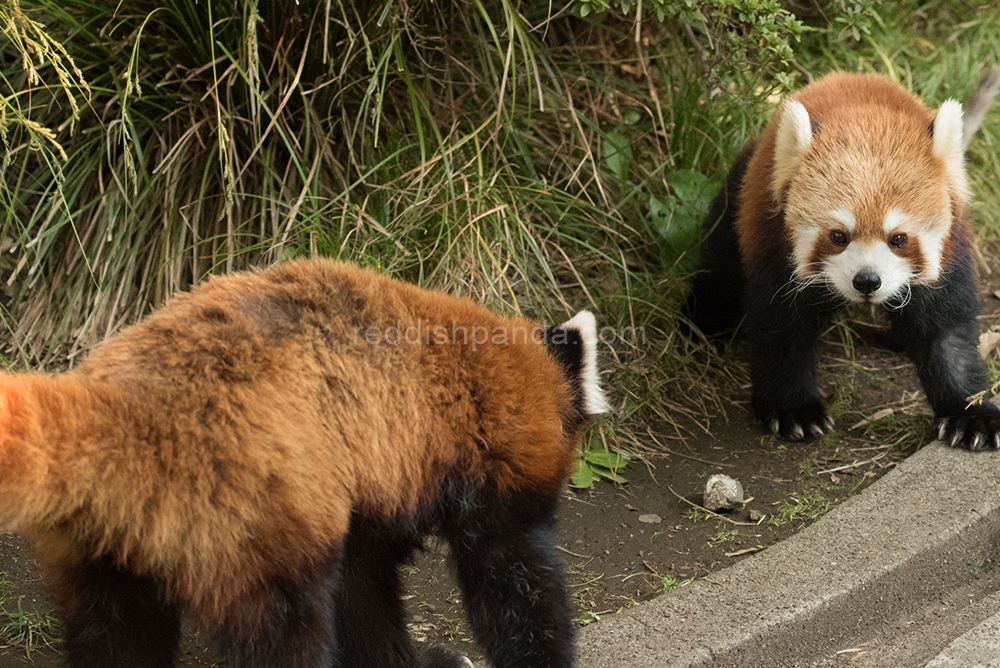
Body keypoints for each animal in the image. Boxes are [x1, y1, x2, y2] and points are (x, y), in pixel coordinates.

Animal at [0, 258, 608, 668]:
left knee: (117, 637)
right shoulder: (484, 470)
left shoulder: (360, 491)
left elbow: (362, 596)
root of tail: (139, 404)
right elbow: (513, 579)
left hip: (102, 547)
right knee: (287, 633)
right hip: (255, 516)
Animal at [684, 72, 1000, 448]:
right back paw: (702, 323)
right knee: (723, 267)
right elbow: (781, 327)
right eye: (838, 236)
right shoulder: (776, 246)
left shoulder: (951, 253)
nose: (867, 280)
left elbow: (946, 332)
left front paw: (971, 413)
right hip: (741, 197)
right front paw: (793, 410)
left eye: (898, 239)